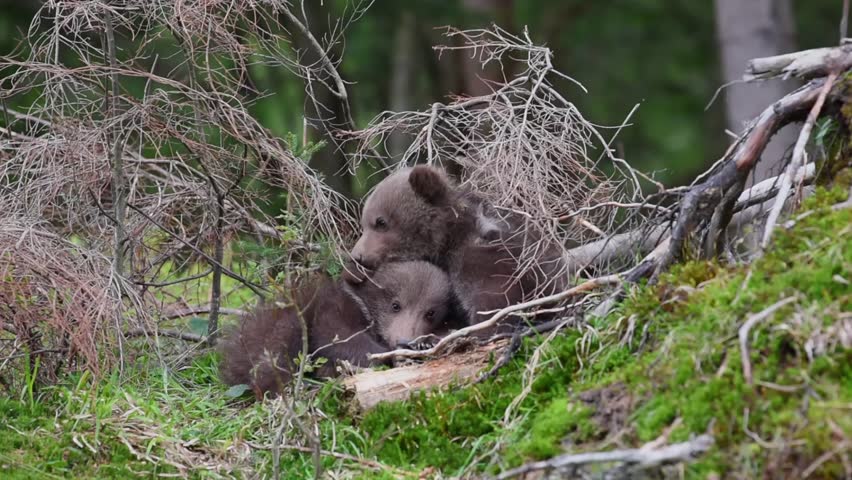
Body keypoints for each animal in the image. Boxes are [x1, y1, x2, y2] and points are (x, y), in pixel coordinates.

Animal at [219, 260, 459, 398]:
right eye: (395, 305)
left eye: (430, 312)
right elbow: (341, 339)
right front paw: (394, 355)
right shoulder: (333, 309)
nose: (403, 340)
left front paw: (427, 342)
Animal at [348, 165, 570, 333]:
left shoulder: (483, 264)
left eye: (380, 222)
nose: (357, 256)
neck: (449, 238)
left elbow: (493, 304)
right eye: (364, 223)